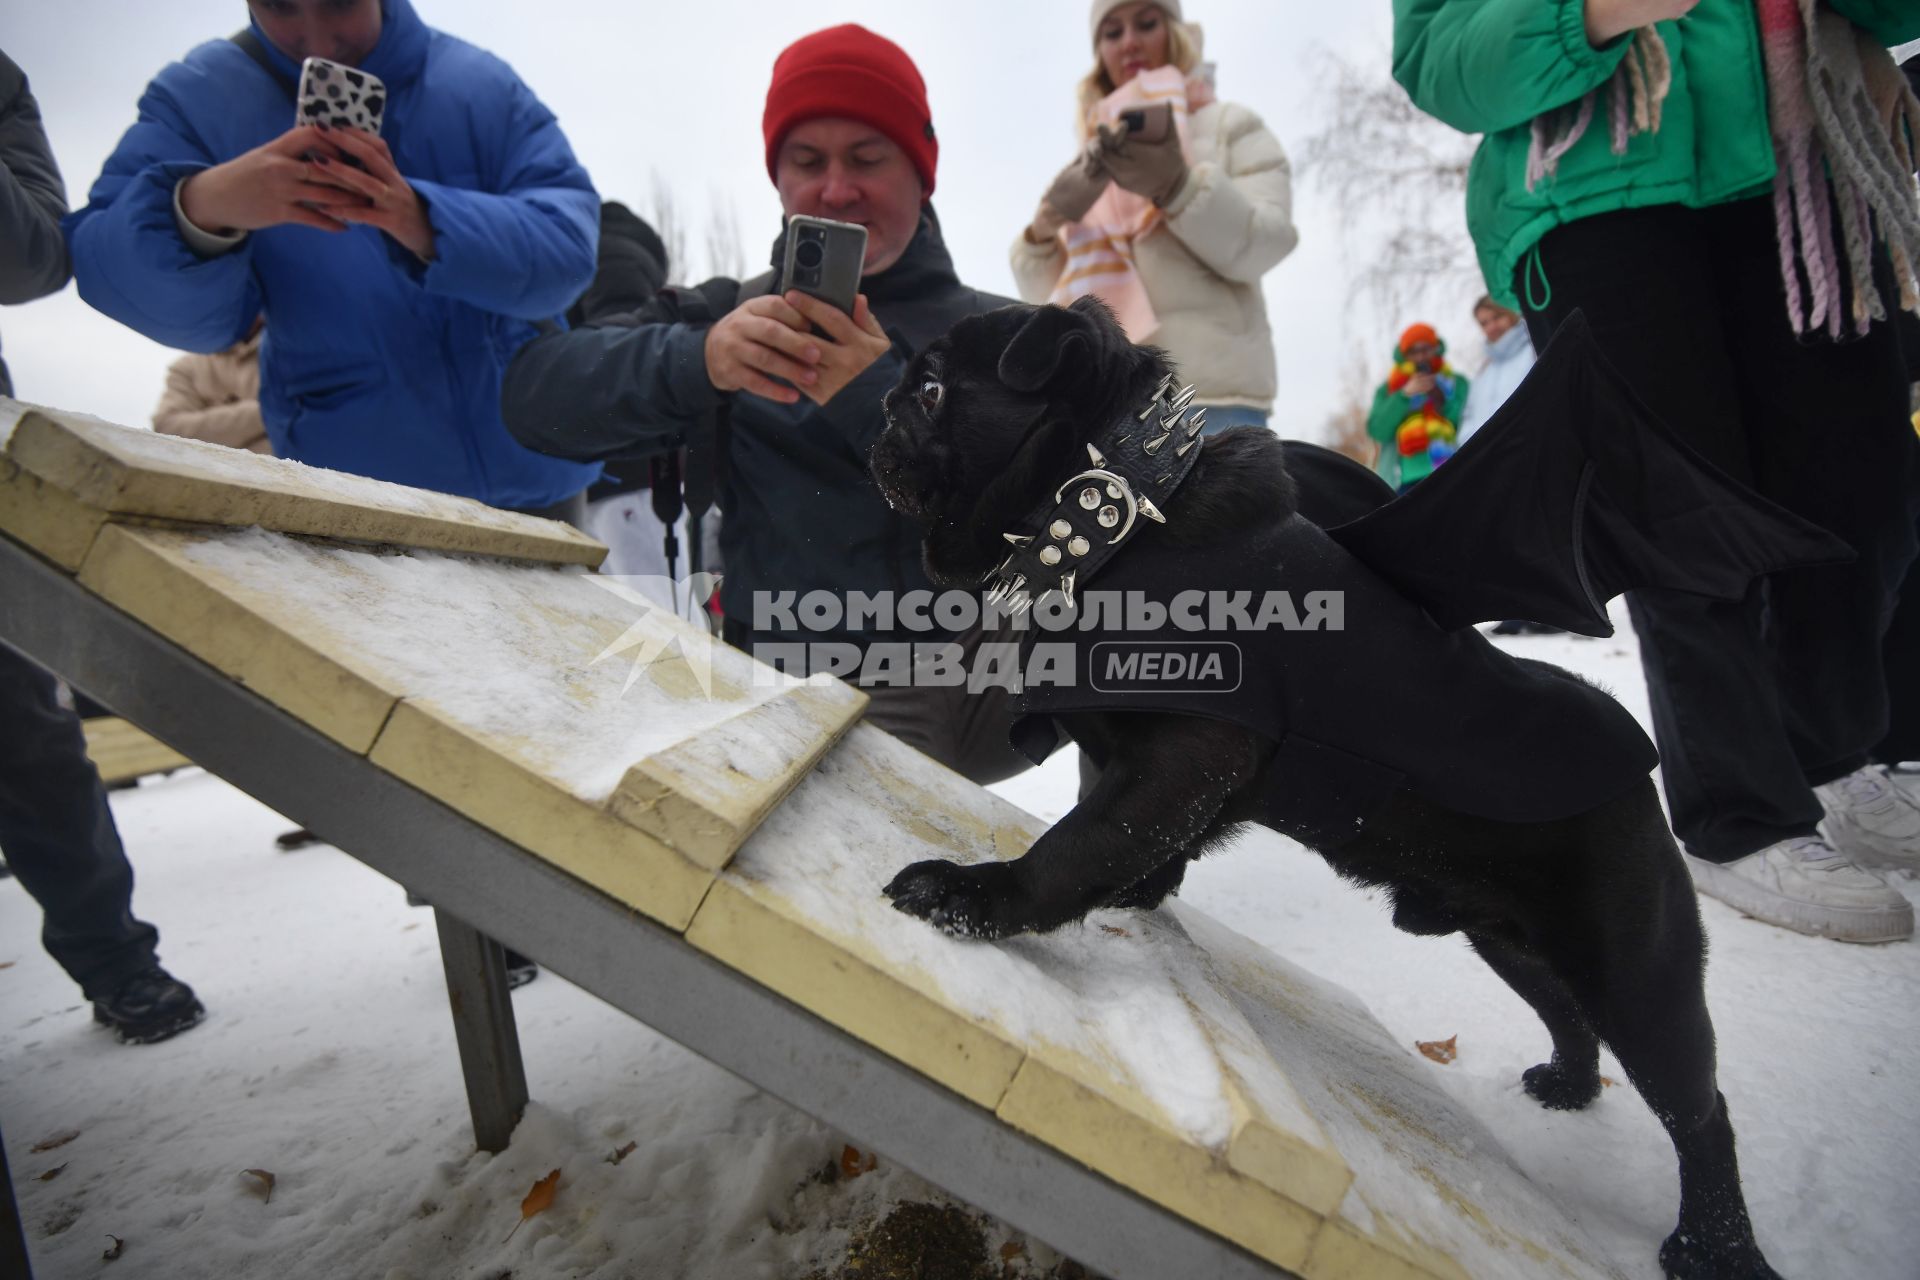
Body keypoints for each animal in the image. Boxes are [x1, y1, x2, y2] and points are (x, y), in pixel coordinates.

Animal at [871, 301, 1781, 1280]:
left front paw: (976, 897)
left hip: (1638, 977)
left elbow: (1076, 845)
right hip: (1512, 942)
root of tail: (1639, 782)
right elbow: (1126, 837)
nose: (882, 407)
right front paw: (1136, 891)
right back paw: (1569, 1086)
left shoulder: (1186, 758)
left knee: (1701, 1113)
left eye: (932, 389)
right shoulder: (1149, 770)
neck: (1119, 514)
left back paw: (1717, 1245)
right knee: (1567, 1013)